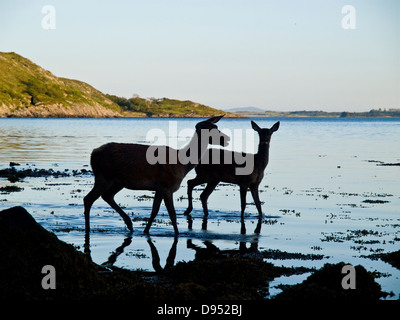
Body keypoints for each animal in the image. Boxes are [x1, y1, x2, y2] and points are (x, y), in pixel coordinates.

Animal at [83, 115, 230, 235]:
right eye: (210, 129)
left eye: (216, 127)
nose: (226, 138)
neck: (182, 165)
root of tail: (93, 153)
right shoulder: (166, 185)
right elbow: (172, 214)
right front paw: (177, 234)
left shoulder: (159, 188)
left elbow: (154, 211)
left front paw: (146, 231)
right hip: (103, 176)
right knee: (88, 199)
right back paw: (88, 229)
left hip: (118, 181)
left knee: (107, 196)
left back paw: (129, 224)